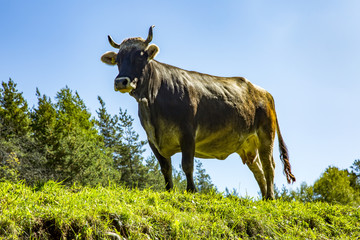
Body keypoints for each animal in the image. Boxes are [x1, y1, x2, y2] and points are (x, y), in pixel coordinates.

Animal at [101, 25, 296, 199]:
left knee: (269, 165)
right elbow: (165, 168)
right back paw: (264, 198)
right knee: (258, 170)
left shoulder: (187, 133)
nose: (121, 82)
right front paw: (169, 191)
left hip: (266, 134)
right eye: (118, 59)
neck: (153, 103)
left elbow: (187, 165)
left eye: (140, 57)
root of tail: (264, 92)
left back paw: (270, 197)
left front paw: (191, 190)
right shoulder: (152, 139)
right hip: (247, 145)